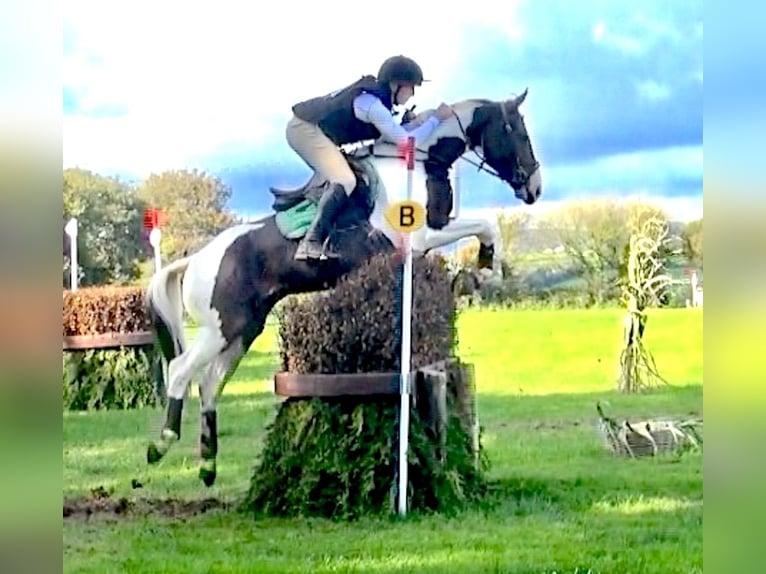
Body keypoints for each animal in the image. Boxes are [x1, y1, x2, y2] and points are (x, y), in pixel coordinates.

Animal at [142, 89, 540, 486]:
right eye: (519, 133)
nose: (535, 189)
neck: (421, 161)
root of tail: (195, 260)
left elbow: (484, 229)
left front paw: (477, 274)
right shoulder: (422, 236)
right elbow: (486, 225)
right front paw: (484, 271)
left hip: (243, 330)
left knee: (210, 383)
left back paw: (208, 465)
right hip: (220, 329)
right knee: (181, 370)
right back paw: (161, 444)